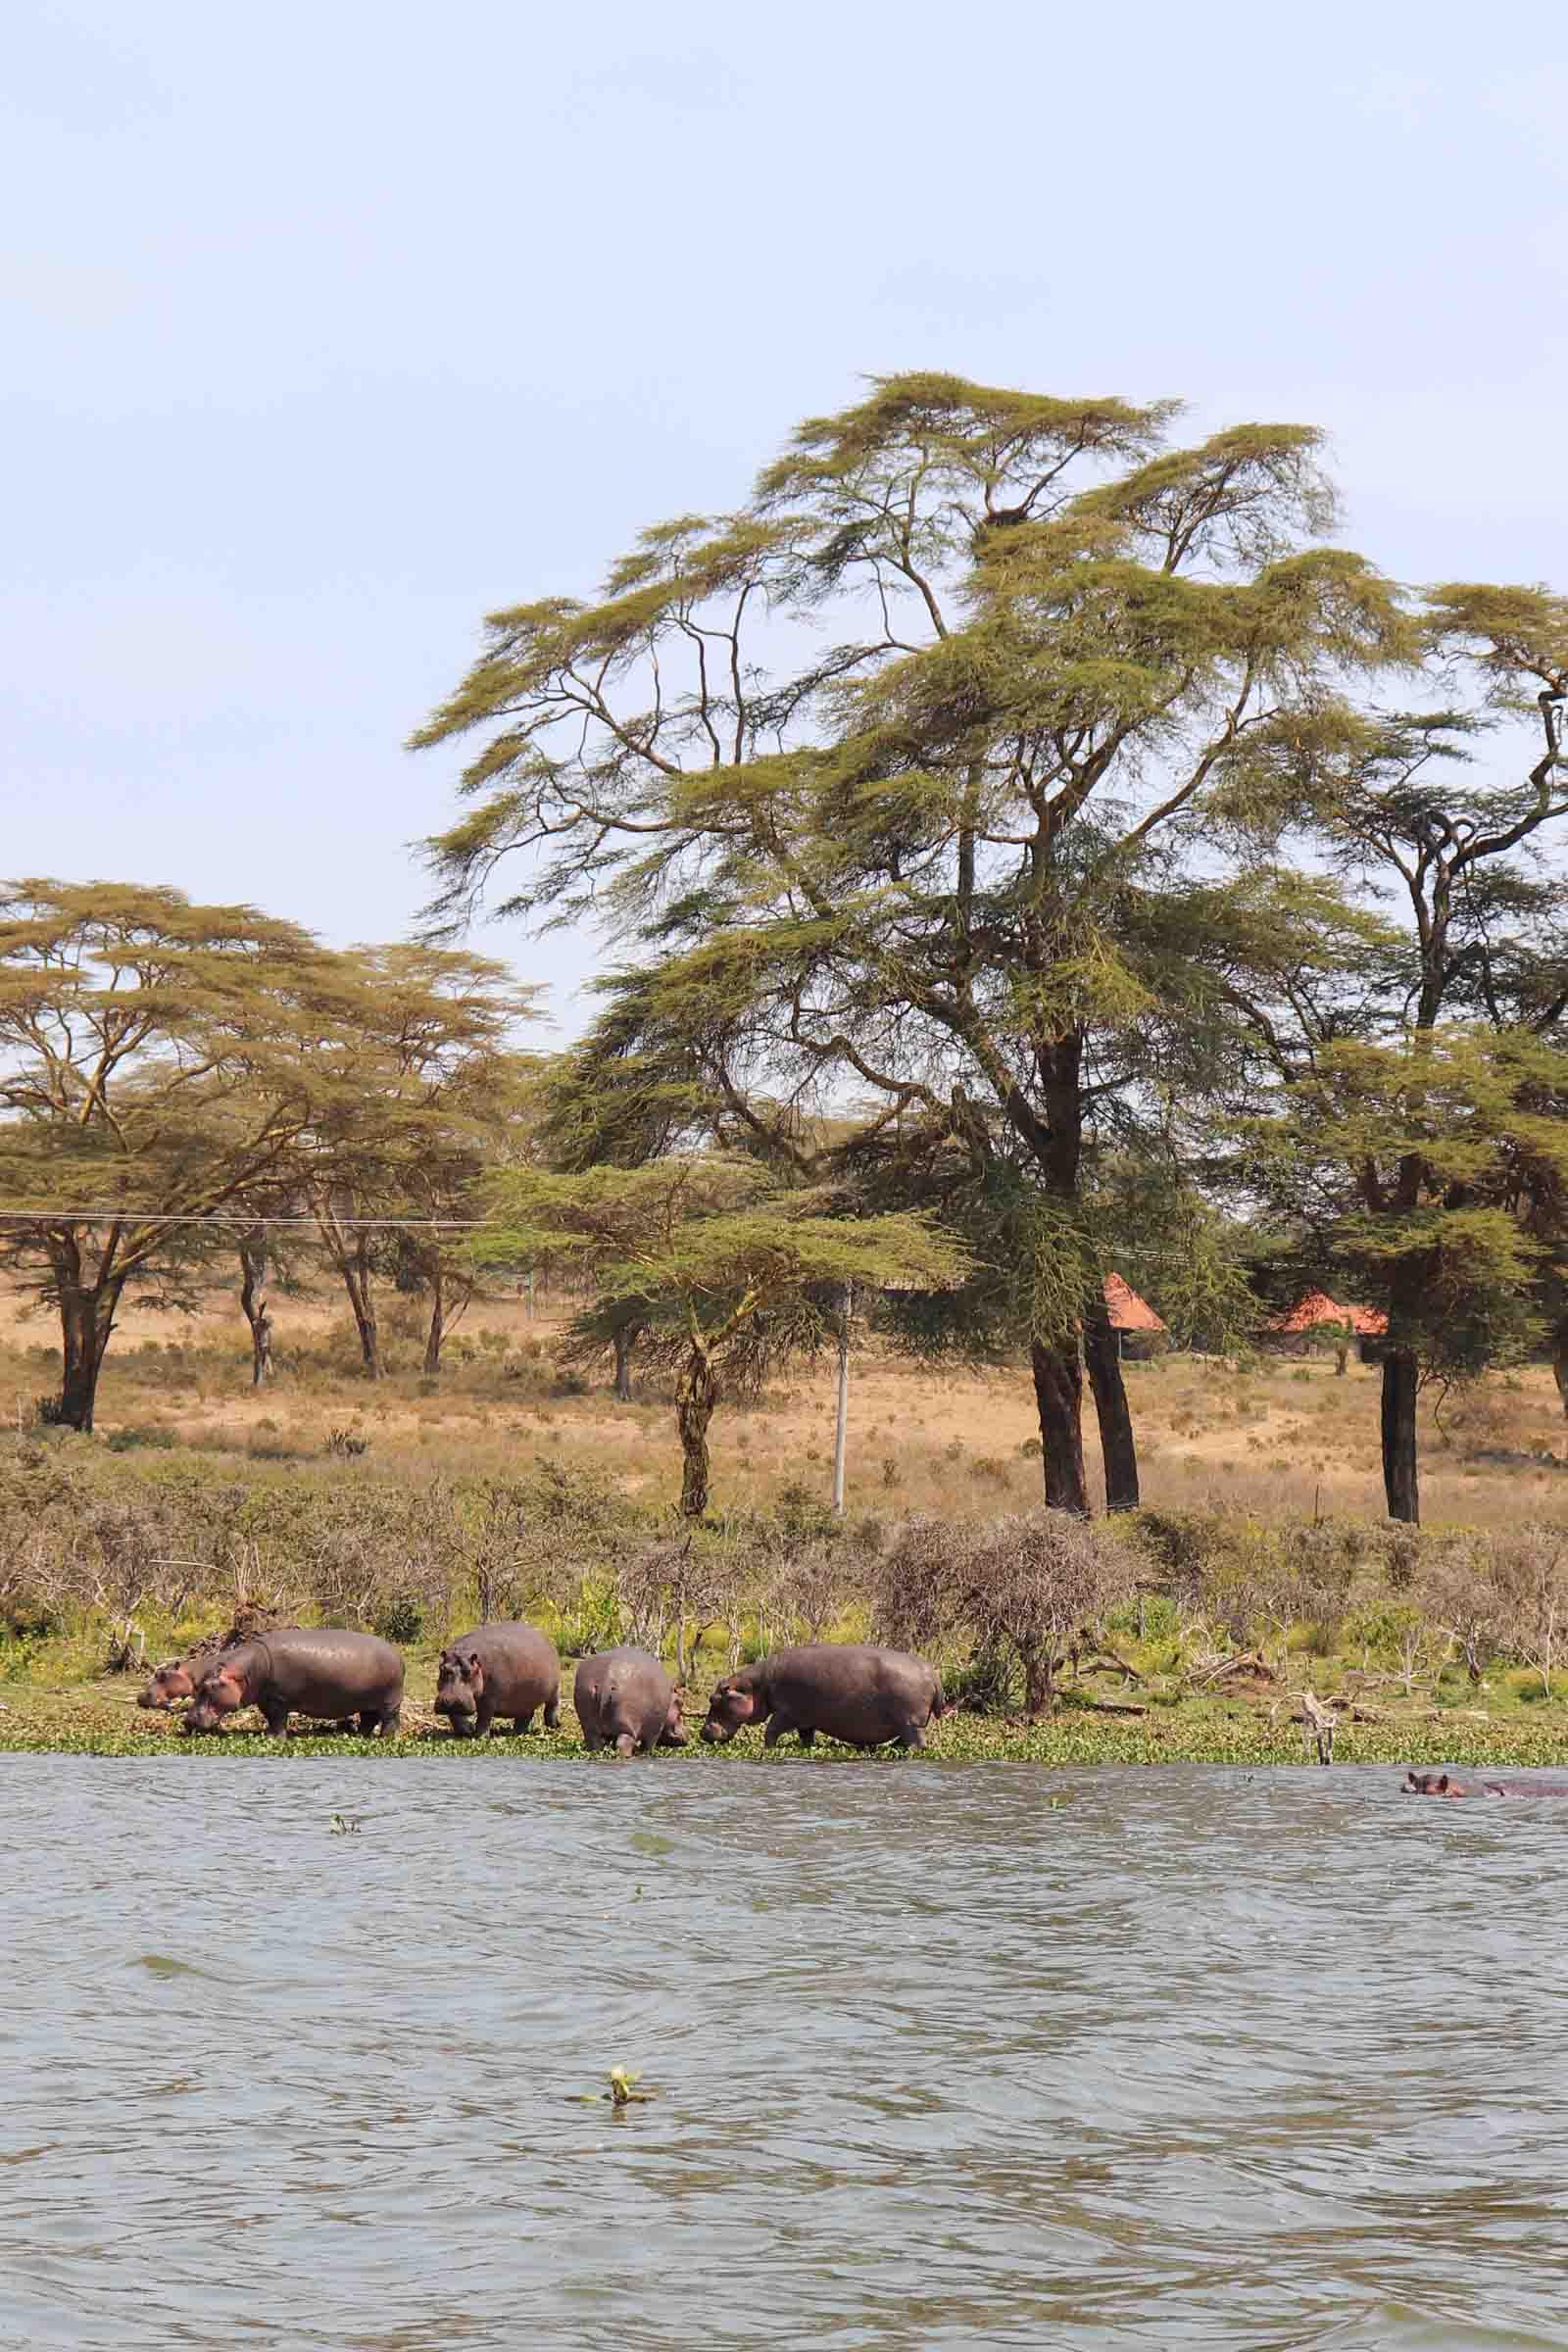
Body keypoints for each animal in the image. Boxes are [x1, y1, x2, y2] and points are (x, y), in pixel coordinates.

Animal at [183, 1627, 404, 1740]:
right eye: (198, 1685)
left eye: (210, 1686)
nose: (188, 1721)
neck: (244, 1672)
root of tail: (397, 1654)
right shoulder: (265, 1699)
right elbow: (270, 1719)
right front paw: (268, 1735)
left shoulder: (279, 1699)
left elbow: (278, 1719)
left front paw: (276, 1739)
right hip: (368, 1701)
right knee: (369, 1719)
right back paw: (359, 1737)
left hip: (390, 1701)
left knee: (389, 1720)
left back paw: (385, 1739)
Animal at [434, 1627, 564, 1740]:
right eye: (442, 1668)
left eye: (468, 1671)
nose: (450, 1700)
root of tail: (547, 1640)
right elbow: (454, 1716)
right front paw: (467, 1731)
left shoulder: (488, 1699)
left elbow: (484, 1717)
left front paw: (481, 1737)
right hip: (526, 1698)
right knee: (525, 1716)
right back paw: (515, 1733)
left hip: (554, 1690)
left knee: (551, 1706)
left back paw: (554, 1725)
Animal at [705, 1646, 950, 1759]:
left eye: (715, 1699)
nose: (702, 1732)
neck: (757, 1685)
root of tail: (932, 1673)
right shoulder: (805, 1719)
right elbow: (806, 1738)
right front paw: (806, 1748)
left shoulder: (787, 1712)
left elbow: (771, 1731)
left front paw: (768, 1749)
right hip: (907, 1723)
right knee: (903, 1740)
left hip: (911, 1722)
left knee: (917, 1743)